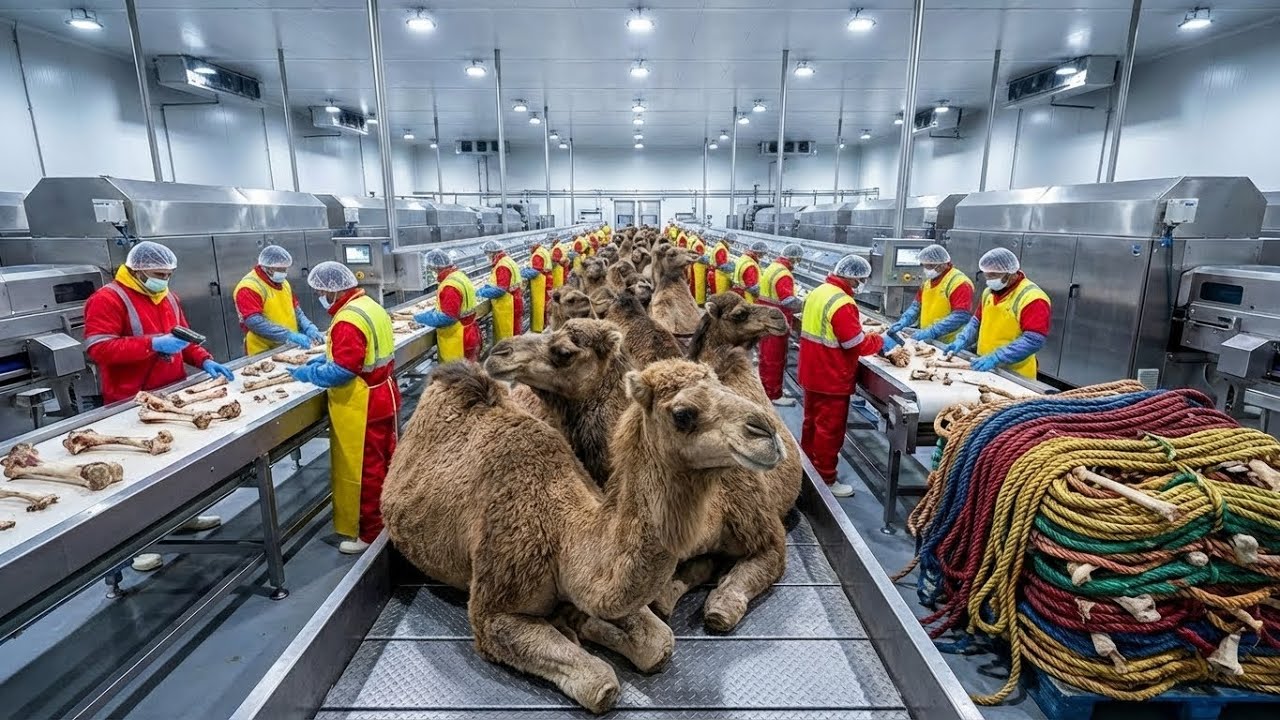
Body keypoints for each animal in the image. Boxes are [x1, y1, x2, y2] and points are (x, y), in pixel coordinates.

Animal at [381, 360, 784, 713]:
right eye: (683, 414)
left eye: (721, 385)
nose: (767, 432)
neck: (562, 534)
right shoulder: (492, 612)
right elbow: (602, 685)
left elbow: (659, 643)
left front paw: (582, 622)